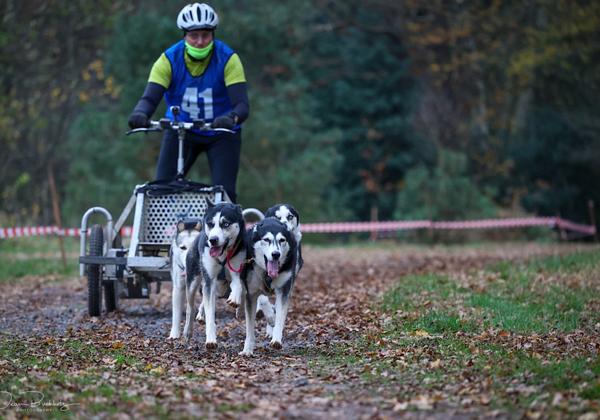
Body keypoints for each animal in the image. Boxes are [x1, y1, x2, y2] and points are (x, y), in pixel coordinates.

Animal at [185, 202, 246, 350]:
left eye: (226, 224)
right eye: (210, 224)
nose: (213, 240)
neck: (223, 256)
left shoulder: (237, 269)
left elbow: (239, 285)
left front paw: (236, 302)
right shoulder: (209, 279)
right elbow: (210, 313)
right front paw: (211, 339)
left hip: (219, 288)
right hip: (193, 282)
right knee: (190, 307)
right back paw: (188, 330)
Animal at [238, 218, 296, 356]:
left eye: (282, 240)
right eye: (266, 240)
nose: (276, 254)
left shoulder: (283, 291)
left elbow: (279, 316)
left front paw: (276, 339)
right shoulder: (251, 294)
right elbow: (250, 326)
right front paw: (247, 350)